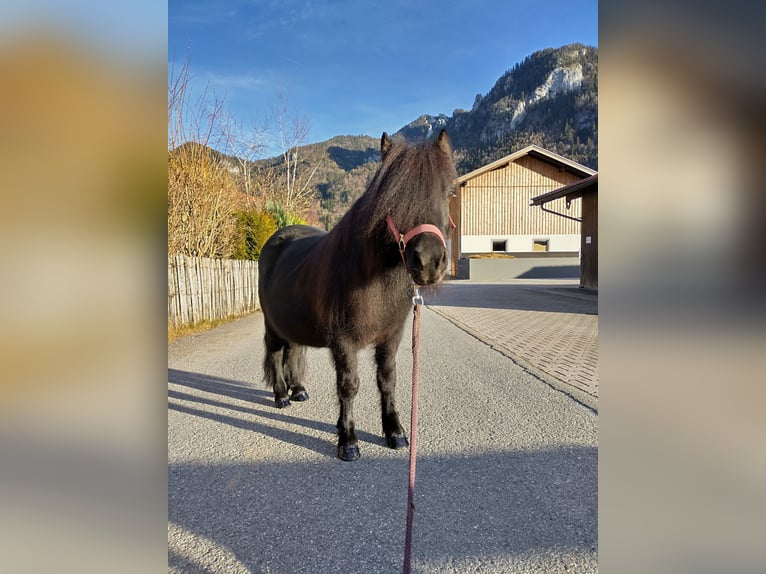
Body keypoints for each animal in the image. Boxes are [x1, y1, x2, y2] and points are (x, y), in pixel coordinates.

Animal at [258, 130, 456, 464]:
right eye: (393, 196)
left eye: (450, 193)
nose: (429, 262)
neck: (372, 280)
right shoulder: (343, 342)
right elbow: (348, 385)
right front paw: (348, 440)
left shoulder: (391, 337)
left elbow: (387, 379)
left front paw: (395, 432)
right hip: (272, 324)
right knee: (275, 353)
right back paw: (282, 395)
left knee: (293, 351)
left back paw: (298, 390)